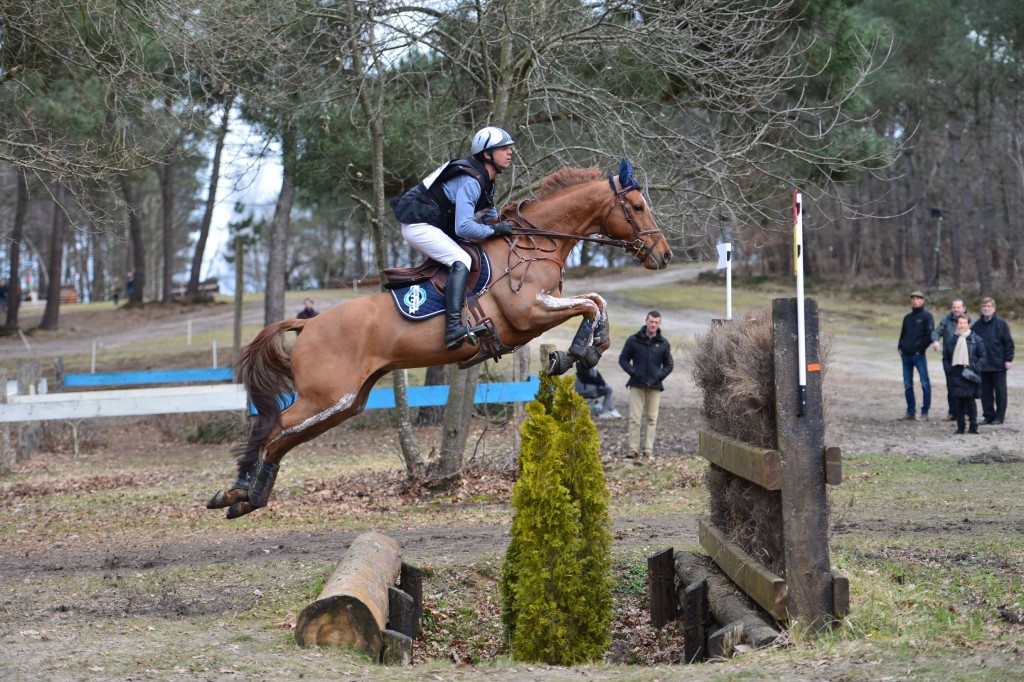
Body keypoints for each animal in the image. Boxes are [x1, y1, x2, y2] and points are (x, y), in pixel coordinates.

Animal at [206, 157, 671, 516]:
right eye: (636, 206)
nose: (664, 255)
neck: (533, 242)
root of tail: (308, 324)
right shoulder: (529, 312)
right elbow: (590, 304)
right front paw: (577, 353)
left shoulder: (542, 309)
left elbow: (596, 301)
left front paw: (583, 352)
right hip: (328, 397)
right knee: (274, 428)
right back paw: (241, 491)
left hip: (344, 404)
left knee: (280, 437)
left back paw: (243, 497)